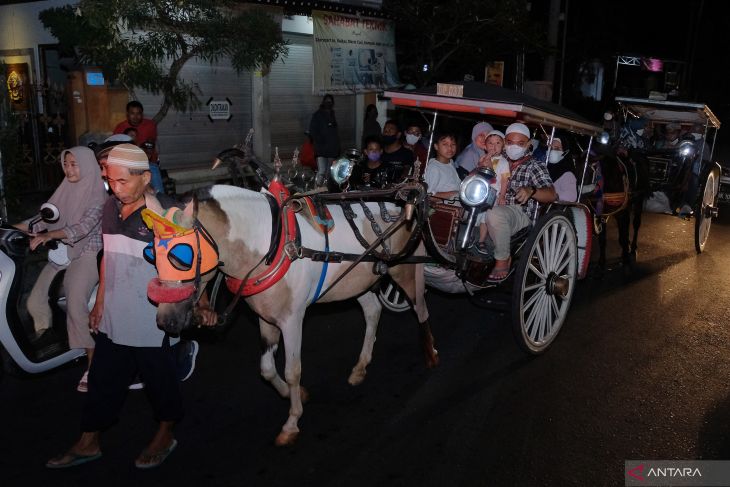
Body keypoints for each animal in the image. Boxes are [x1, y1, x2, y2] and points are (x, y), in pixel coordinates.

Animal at [145, 186, 436, 446]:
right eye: (151, 255)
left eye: (181, 257)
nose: (164, 321)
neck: (269, 246)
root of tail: (402, 204)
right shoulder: (266, 318)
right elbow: (266, 369)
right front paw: (293, 394)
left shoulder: (292, 319)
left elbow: (293, 370)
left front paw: (292, 422)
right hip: (355, 281)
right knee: (373, 310)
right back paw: (361, 366)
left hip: (403, 269)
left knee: (421, 308)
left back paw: (430, 353)